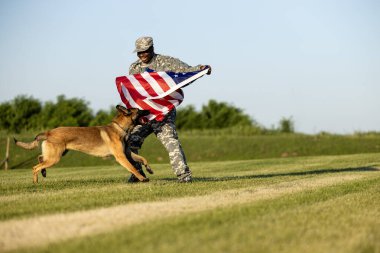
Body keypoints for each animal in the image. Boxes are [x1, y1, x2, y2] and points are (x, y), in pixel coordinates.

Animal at [13, 105, 153, 184]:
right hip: (54, 157)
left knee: (40, 158)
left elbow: (142, 159)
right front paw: (142, 178)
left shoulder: (127, 153)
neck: (120, 128)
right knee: (35, 167)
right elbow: (132, 167)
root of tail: (49, 132)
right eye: (139, 110)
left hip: (55, 155)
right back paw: (36, 182)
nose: (149, 110)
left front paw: (149, 169)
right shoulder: (121, 157)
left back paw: (43, 173)